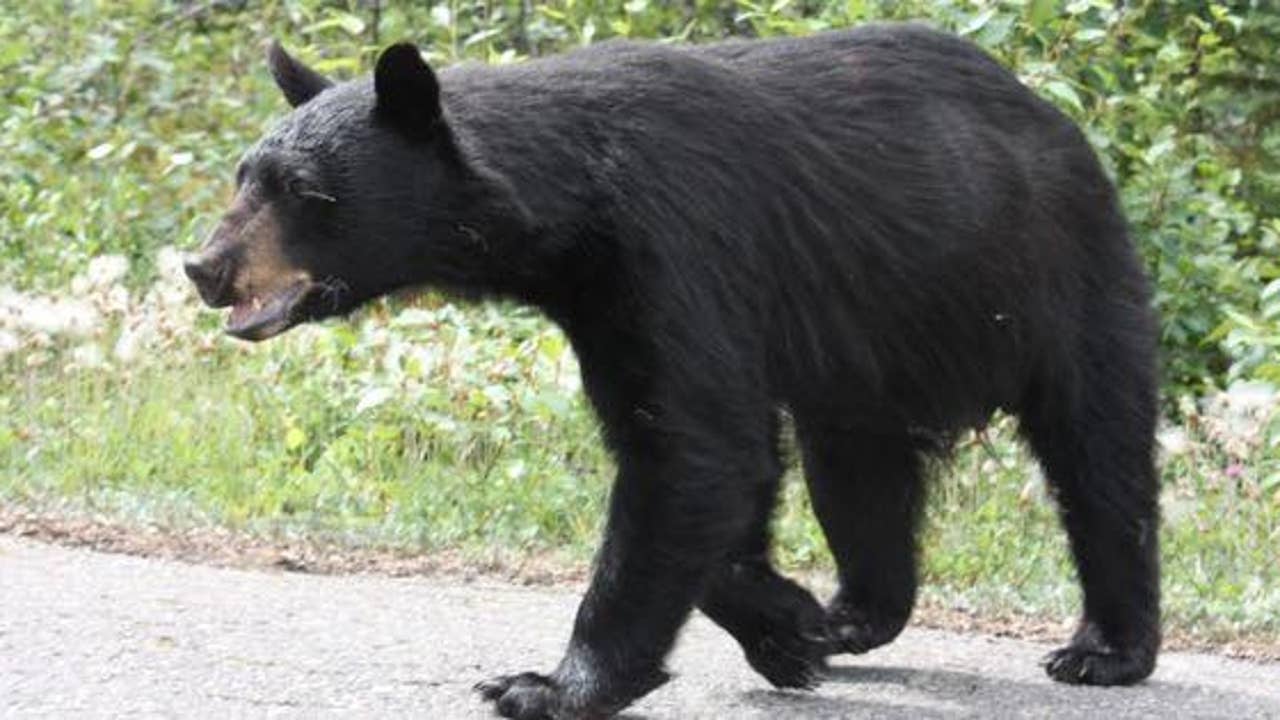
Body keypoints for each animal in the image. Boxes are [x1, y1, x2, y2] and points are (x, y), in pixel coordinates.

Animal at [186, 23, 1162, 717]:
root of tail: (1060, 121)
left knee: (1100, 456)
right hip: (867, 360)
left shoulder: (676, 250)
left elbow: (694, 449)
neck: (571, 214)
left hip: (1061, 281)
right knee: (857, 475)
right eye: (243, 176)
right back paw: (854, 614)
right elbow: (712, 455)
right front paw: (788, 625)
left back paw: (1104, 649)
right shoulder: (604, 301)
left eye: (305, 193)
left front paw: (545, 686)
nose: (206, 267)